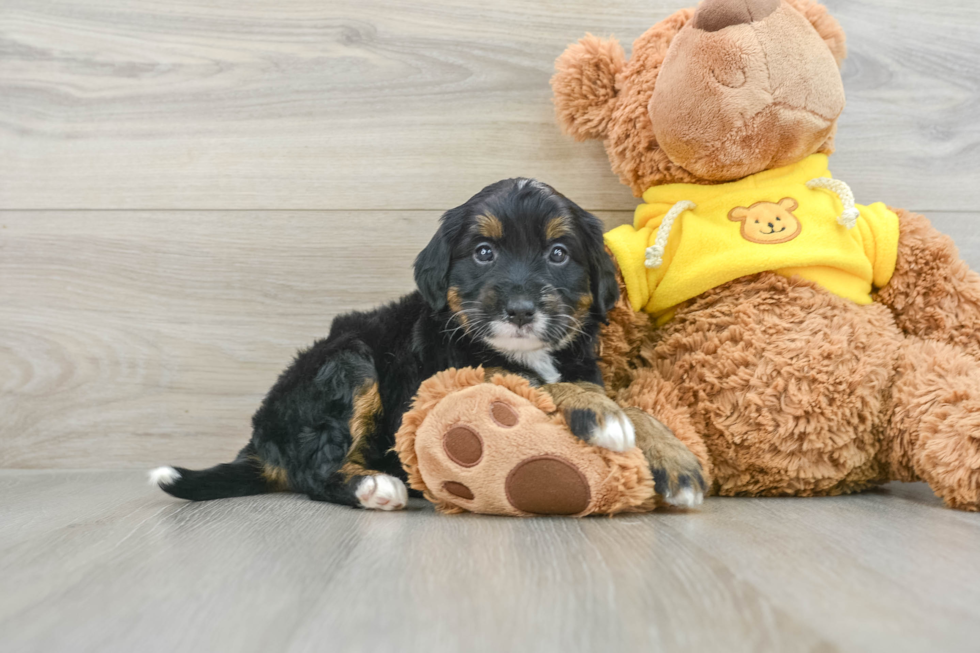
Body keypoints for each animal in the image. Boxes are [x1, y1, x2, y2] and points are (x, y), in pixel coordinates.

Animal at [151, 177, 704, 510]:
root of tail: (261, 440)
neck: (529, 350)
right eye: (483, 253)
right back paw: (372, 486)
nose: (520, 309)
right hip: (350, 363)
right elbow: (533, 382)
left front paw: (673, 458)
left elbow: (630, 403)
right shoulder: (454, 372)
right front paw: (602, 415)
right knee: (314, 470)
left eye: (558, 253)